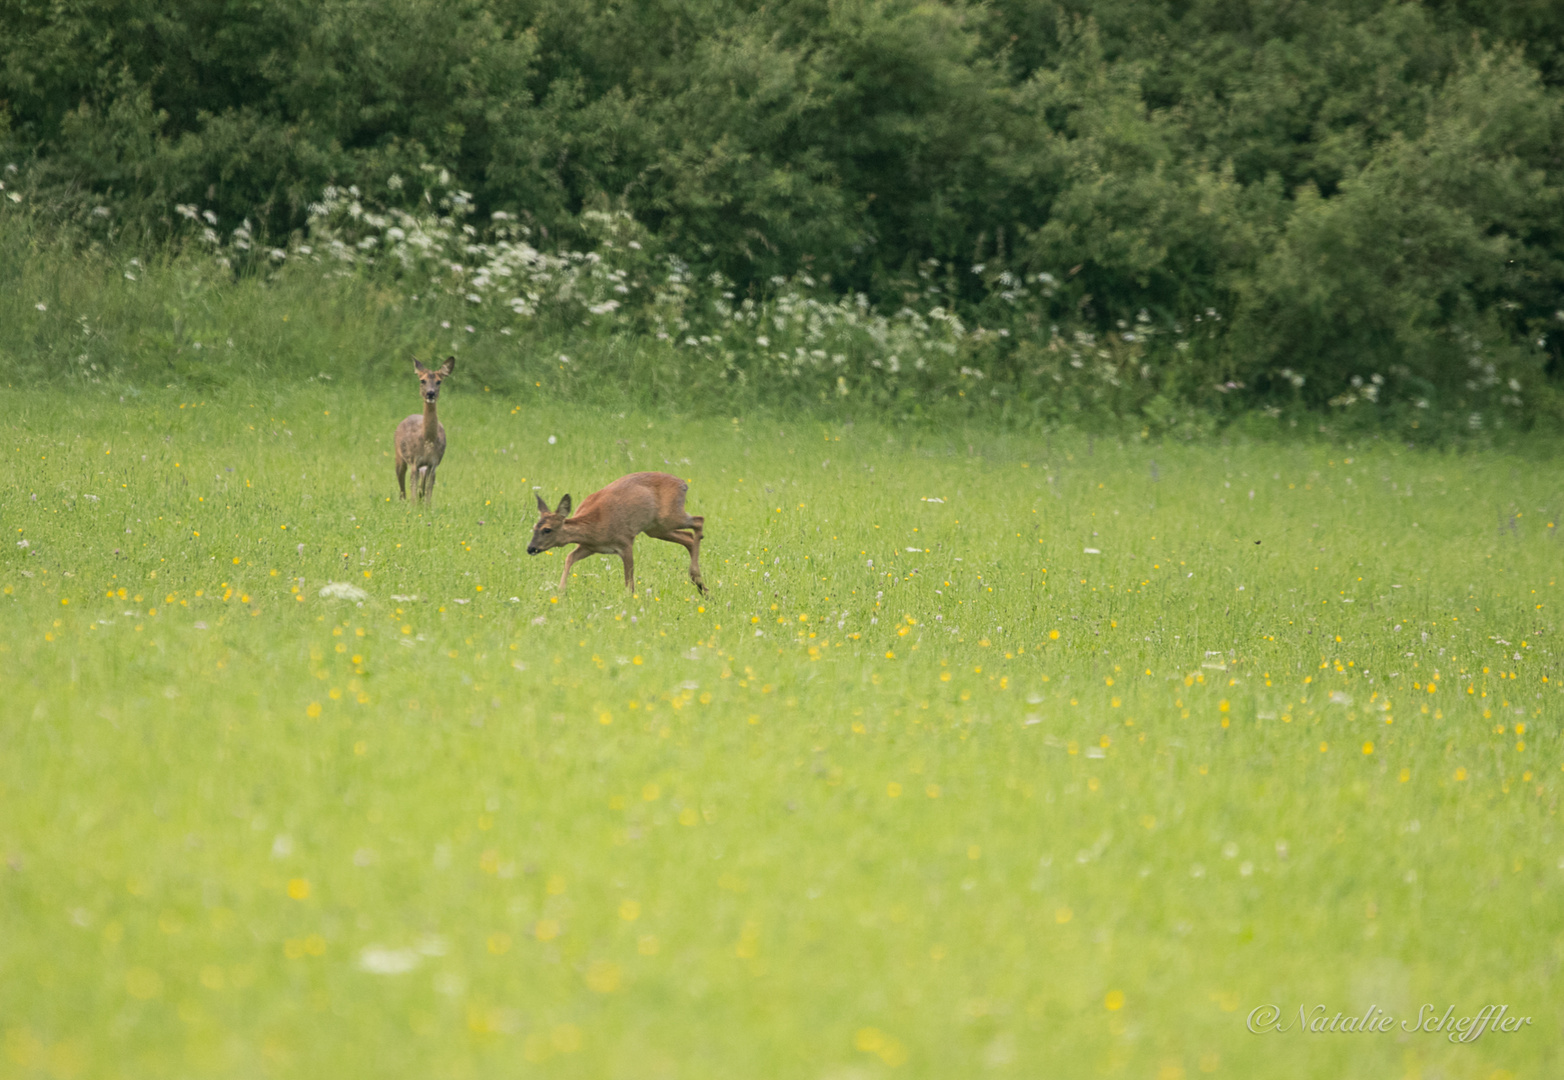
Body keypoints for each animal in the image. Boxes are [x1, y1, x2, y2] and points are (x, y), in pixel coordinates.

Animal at [394, 356, 456, 506]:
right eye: (422, 380)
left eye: (439, 381)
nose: (430, 393)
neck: (428, 440)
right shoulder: (414, 461)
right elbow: (413, 490)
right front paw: (413, 507)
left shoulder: (434, 463)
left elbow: (428, 492)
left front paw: (426, 507)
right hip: (399, 457)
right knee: (402, 486)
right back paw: (403, 502)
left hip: (423, 468)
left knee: (420, 488)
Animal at [534, 472, 713, 597]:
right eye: (534, 527)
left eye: (547, 529)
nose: (531, 548)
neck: (594, 523)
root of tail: (684, 484)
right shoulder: (589, 547)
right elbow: (569, 558)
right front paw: (561, 592)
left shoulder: (625, 541)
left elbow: (629, 580)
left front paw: (630, 599)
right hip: (656, 529)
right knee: (688, 537)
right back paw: (701, 588)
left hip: (669, 518)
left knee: (699, 520)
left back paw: (697, 579)